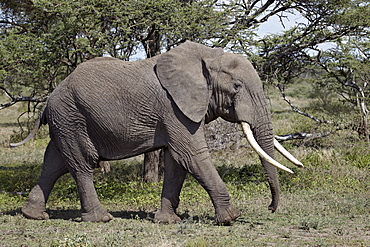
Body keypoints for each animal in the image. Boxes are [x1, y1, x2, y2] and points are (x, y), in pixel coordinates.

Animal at [11, 41, 304, 225]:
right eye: (237, 86)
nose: (270, 208)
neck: (208, 57)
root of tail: (49, 99)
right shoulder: (174, 107)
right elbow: (192, 155)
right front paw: (232, 218)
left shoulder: (177, 110)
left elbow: (176, 161)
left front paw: (167, 221)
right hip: (72, 117)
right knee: (82, 164)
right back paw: (101, 219)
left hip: (66, 120)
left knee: (55, 162)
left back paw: (33, 216)